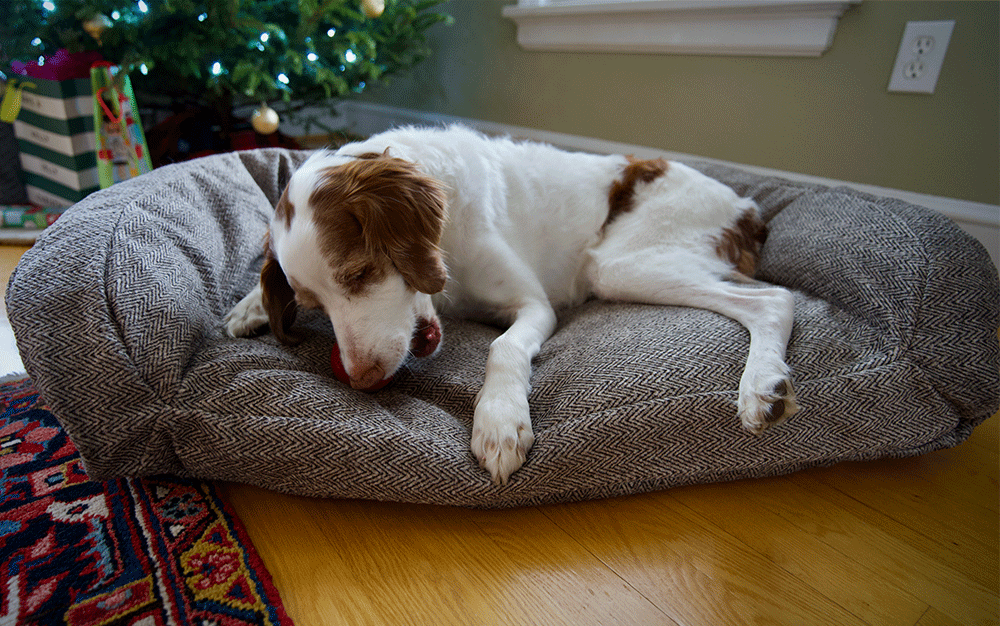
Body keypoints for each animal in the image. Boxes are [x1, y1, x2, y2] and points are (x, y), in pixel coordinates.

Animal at [227, 123, 796, 482]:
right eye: (313, 304)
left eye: (359, 273)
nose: (363, 381)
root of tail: (750, 208)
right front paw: (250, 305)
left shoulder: (534, 304)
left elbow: (502, 348)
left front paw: (500, 422)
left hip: (619, 265)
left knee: (775, 299)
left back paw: (762, 389)